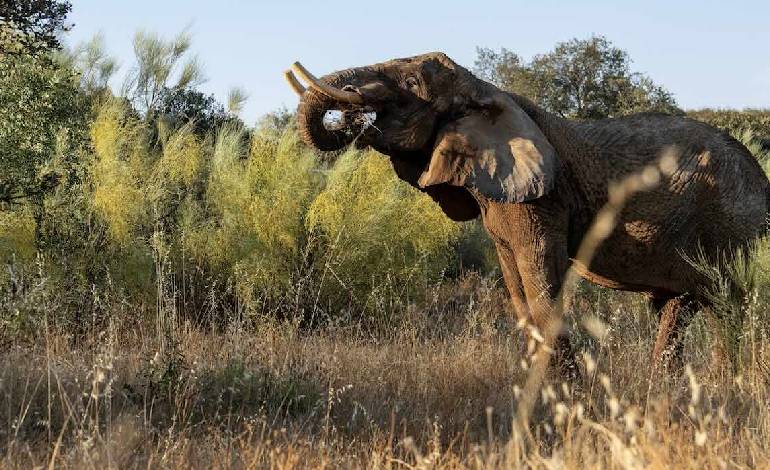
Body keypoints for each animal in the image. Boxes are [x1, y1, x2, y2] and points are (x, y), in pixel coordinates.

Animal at [284, 52, 769, 375]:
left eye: (411, 84)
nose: (353, 116)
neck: (487, 91)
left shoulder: (543, 201)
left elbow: (540, 280)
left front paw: (564, 393)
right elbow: (517, 287)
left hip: (732, 225)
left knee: (728, 305)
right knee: (681, 306)